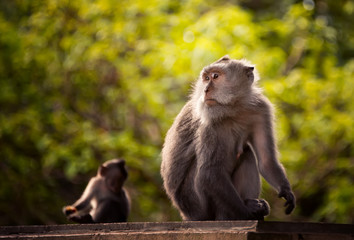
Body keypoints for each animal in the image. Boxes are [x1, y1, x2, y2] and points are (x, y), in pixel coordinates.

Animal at [161, 55, 296, 220]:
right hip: (197, 203)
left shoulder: (261, 109)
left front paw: (287, 192)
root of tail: (187, 214)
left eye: (215, 76)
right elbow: (209, 174)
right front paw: (247, 212)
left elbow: (266, 160)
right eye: (206, 78)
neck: (233, 108)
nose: (205, 89)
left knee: (247, 154)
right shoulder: (208, 123)